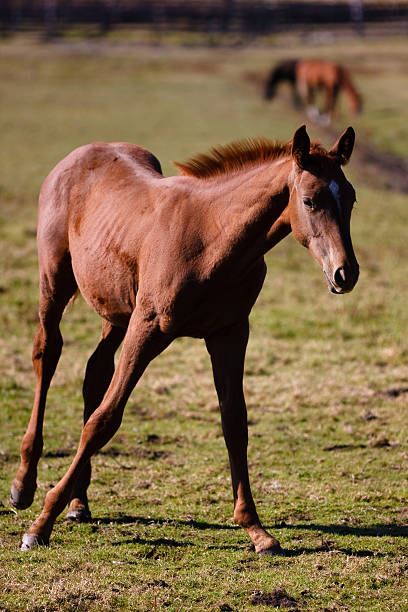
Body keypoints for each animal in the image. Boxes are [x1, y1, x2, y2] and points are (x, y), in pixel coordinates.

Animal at [11, 124, 358, 556]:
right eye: (309, 200)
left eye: (351, 198)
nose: (345, 273)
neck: (212, 236)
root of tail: (78, 155)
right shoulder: (148, 329)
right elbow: (104, 420)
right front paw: (41, 524)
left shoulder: (229, 334)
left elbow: (235, 423)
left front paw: (256, 530)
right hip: (56, 286)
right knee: (47, 356)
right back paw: (23, 486)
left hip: (116, 310)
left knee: (94, 373)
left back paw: (79, 503)